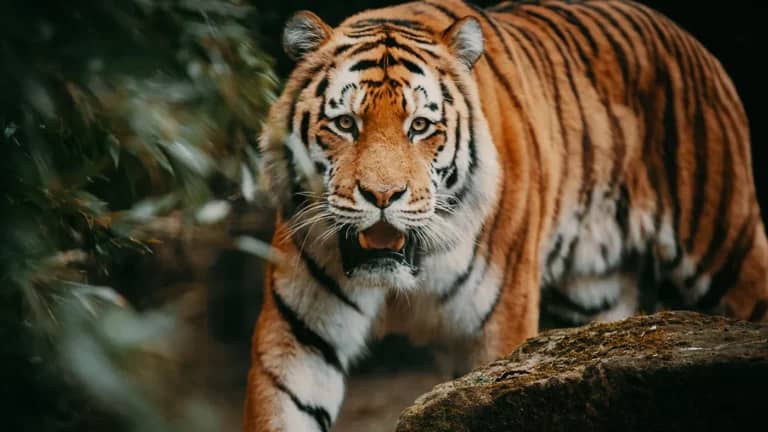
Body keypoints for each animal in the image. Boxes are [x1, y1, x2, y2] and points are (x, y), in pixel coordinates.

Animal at [243, 0, 768, 430]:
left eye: (420, 126)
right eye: (345, 124)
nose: (382, 195)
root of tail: (686, 38)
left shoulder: (500, 328)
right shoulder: (300, 337)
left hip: (726, 245)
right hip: (593, 302)